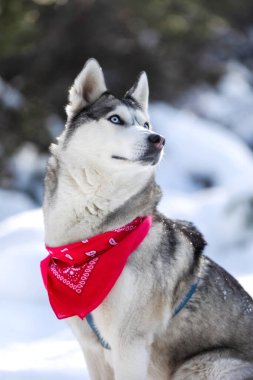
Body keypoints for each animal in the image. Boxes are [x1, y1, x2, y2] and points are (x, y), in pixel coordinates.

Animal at [43, 59, 253, 380]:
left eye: (146, 125)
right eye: (116, 119)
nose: (158, 139)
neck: (89, 244)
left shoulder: (129, 344)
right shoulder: (92, 348)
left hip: (203, 364)